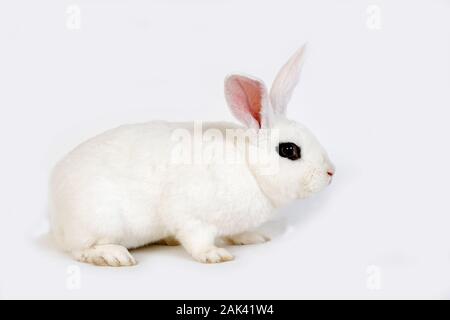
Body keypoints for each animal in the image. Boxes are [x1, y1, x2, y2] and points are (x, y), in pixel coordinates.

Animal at [50, 44, 334, 264]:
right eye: (289, 150)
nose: (331, 172)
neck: (247, 164)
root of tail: (57, 216)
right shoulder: (191, 216)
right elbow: (198, 240)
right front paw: (215, 255)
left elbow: (238, 232)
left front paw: (253, 238)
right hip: (100, 221)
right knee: (80, 249)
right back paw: (114, 255)